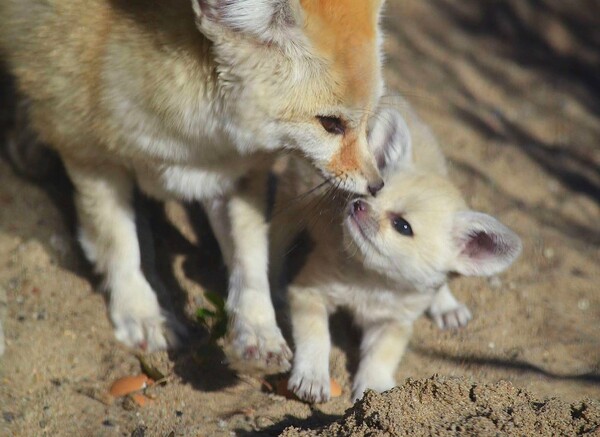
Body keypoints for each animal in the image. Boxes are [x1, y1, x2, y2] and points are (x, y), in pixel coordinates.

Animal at [270, 103, 524, 402]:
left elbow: (381, 357)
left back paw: (446, 306)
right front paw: (312, 377)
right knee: (273, 238)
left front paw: (375, 389)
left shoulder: (393, 323)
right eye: (372, 194)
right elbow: (316, 336)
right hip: (293, 203)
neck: (373, 282)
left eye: (402, 226)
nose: (357, 205)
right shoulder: (309, 292)